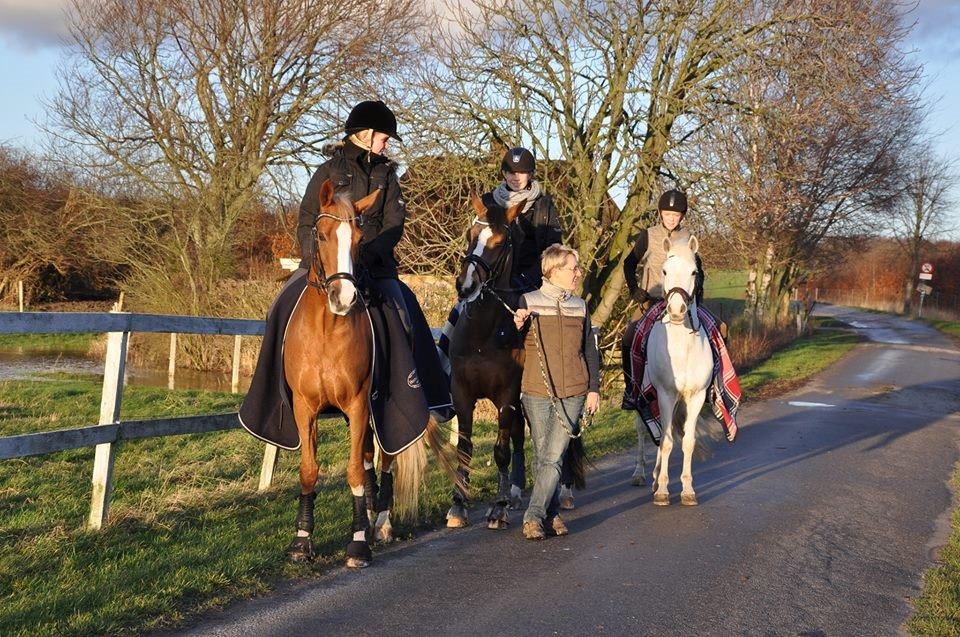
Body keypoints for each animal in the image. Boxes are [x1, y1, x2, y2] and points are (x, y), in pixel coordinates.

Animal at [284, 178, 456, 568]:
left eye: (360, 240)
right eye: (321, 235)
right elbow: (309, 470)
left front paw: (359, 542)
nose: (344, 298)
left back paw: (381, 523)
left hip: (382, 410)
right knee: (367, 460)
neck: (327, 329)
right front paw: (302, 541)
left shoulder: (360, 403)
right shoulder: (305, 408)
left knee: (385, 460)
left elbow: (354, 471)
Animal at [636, 236, 712, 504]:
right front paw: (662, 491)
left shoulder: (696, 396)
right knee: (646, 430)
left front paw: (687, 490)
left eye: (694, 272)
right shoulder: (665, 395)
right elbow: (667, 442)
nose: (677, 310)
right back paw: (644, 475)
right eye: (665, 271)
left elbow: (687, 441)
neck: (682, 349)